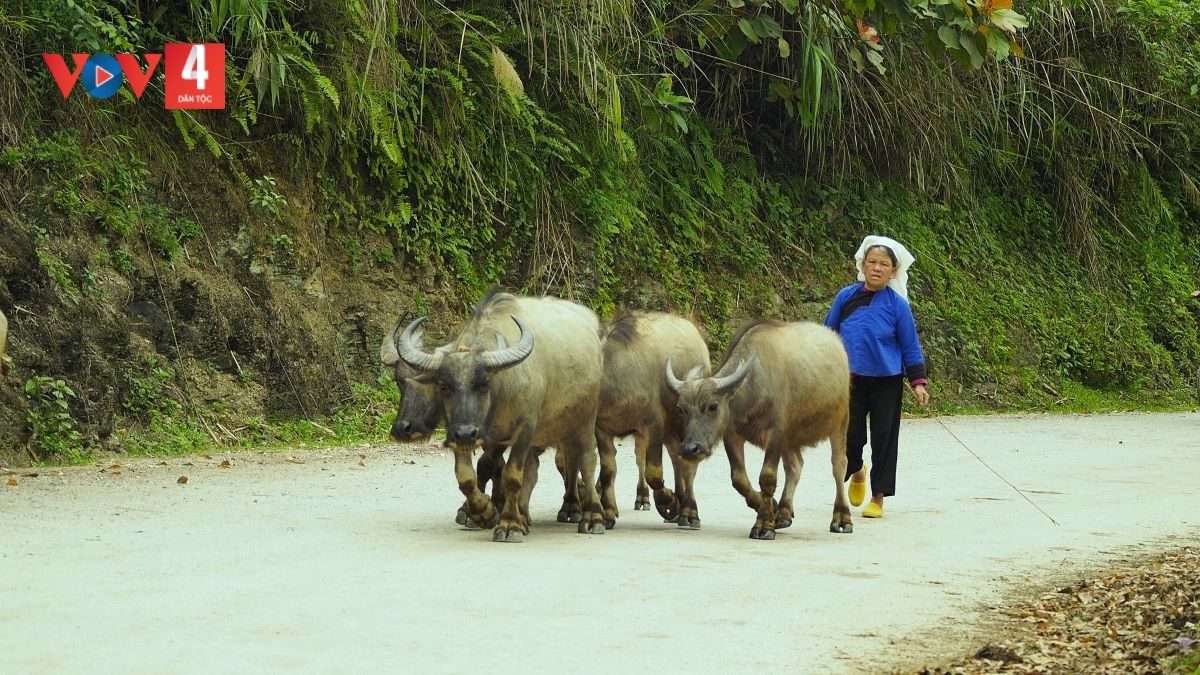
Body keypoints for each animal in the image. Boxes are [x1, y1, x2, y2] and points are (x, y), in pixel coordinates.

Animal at [393, 285, 604, 538]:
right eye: (443, 386)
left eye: (483, 383)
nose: (466, 433)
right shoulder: (469, 434)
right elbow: (469, 474)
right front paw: (483, 512)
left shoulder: (525, 429)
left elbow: (511, 475)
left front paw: (509, 524)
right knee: (534, 468)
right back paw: (526, 513)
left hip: (584, 420)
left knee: (585, 461)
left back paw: (590, 515)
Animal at [595, 309, 705, 526]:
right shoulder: (602, 429)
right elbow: (608, 471)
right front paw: (609, 512)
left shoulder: (653, 425)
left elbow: (653, 472)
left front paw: (669, 502)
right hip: (668, 430)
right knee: (675, 456)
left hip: (683, 425)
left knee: (689, 464)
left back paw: (689, 511)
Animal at [667, 317, 854, 538]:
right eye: (681, 409)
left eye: (713, 406)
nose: (690, 449)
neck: (752, 389)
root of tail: (838, 345)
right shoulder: (733, 435)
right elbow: (739, 479)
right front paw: (770, 508)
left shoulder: (776, 434)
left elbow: (767, 477)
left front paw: (764, 524)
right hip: (791, 439)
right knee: (795, 466)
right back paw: (783, 513)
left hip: (840, 423)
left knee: (839, 465)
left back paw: (842, 518)